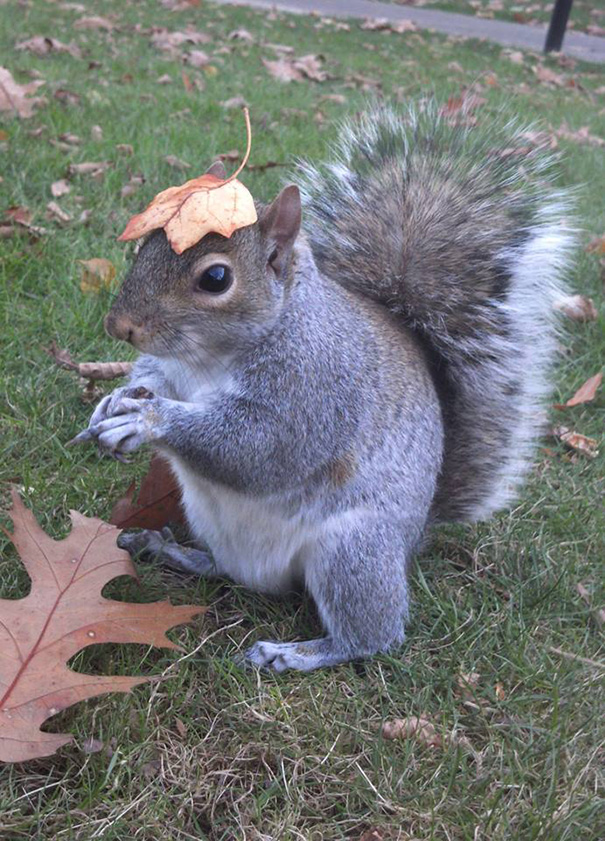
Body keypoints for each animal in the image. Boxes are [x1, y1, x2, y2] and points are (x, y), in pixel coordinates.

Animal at [74, 102, 574, 672]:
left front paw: (148, 419)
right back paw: (173, 551)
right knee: (223, 568)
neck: (209, 359)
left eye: (216, 278)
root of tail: (414, 538)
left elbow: (258, 448)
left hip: (353, 552)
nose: (119, 326)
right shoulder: (171, 368)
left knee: (372, 636)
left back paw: (296, 653)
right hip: (210, 518)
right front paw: (114, 404)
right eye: (145, 244)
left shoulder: (314, 390)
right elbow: (151, 378)